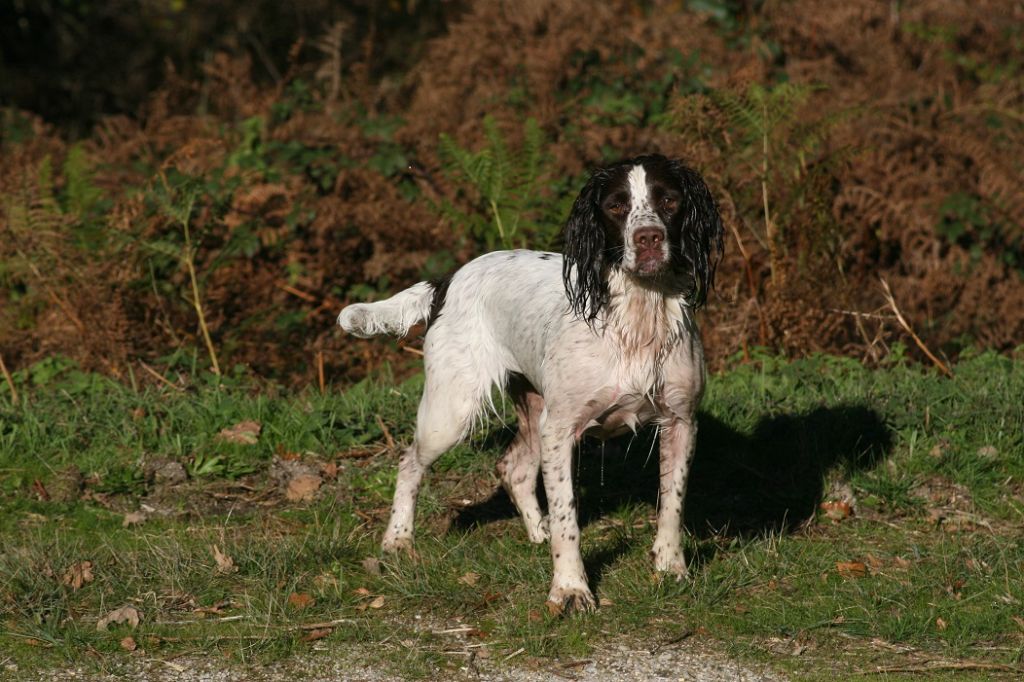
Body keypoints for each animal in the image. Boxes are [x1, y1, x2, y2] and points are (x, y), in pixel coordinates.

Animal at [335, 153, 720, 610]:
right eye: (616, 206)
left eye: (669, 200)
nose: (648, 238)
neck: (639, 317)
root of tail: (449, 279)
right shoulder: (562, 428)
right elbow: (568, 518)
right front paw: (570, 589)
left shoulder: (680, 421)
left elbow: (671, 505)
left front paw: (671, 568)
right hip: (451, 412)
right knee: (409, 462)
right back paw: (398, 540)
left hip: (533, 409)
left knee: (513, 468)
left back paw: (537, 532)